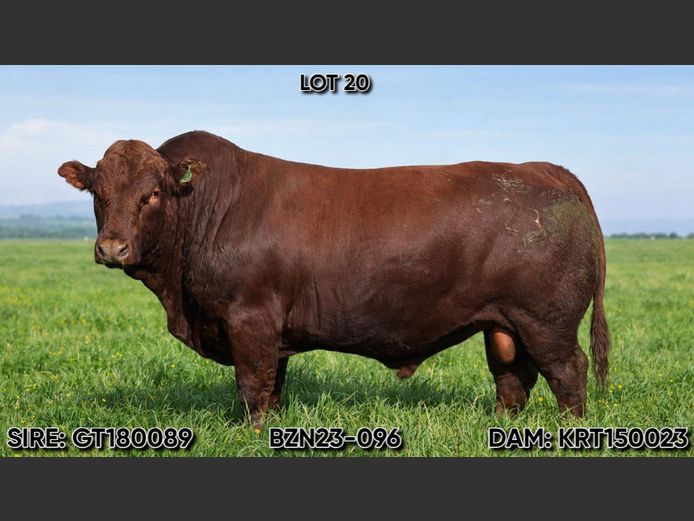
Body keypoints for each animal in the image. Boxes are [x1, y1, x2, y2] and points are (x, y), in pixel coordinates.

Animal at [58, 130, 610, 427]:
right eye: (98, 193)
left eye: (152, 194)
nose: (112, 247)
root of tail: (546, 169)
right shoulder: (267, 327)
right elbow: (273, 385)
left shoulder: (249, 316)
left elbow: (252, 383)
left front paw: (251, 434)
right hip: (505, 323)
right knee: (513, 379)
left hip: (546, 320)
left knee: (569, 372)